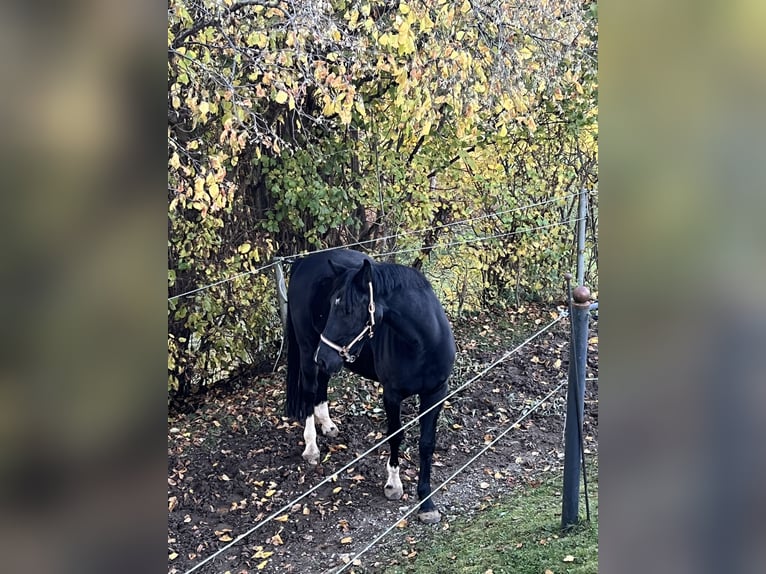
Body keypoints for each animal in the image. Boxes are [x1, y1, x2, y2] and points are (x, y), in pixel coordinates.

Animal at [284, 249, 456, 523]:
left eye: (348, 309)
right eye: (332, 305)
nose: (324, 355)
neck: (422, 343)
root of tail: (305, 260)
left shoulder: (436, 393)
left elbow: (427, 443)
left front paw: (426, 502)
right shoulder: (392, 396)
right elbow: (396, 436)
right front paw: (393, 485)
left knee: (322, 385)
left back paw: (328, 425)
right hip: (308, 349)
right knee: (309, 391)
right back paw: (311, 447)